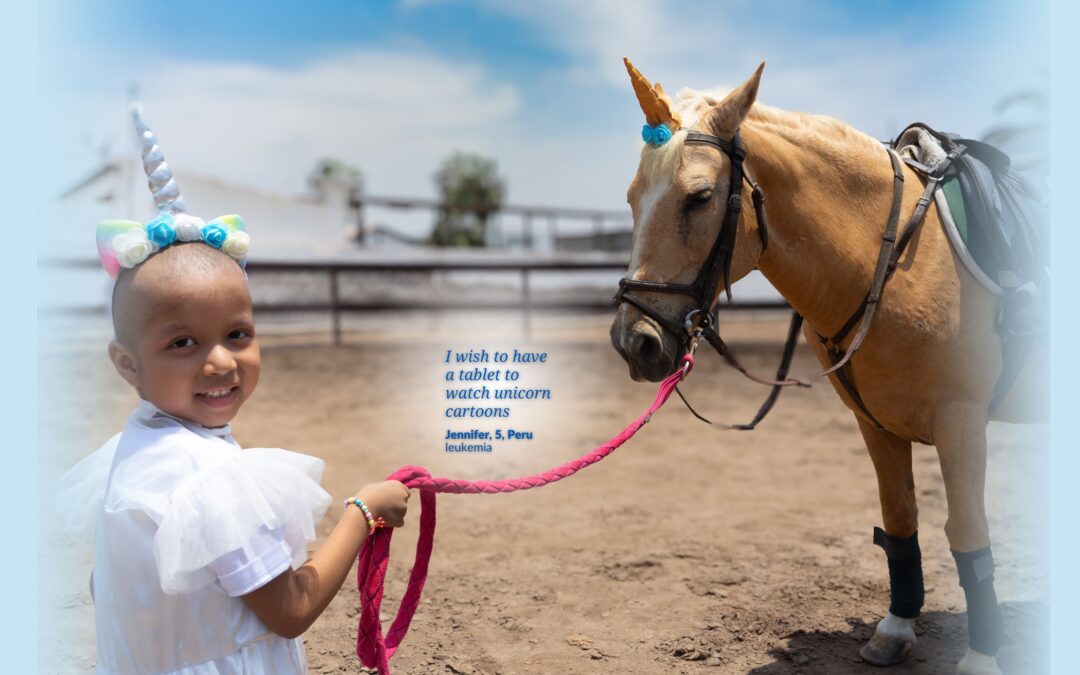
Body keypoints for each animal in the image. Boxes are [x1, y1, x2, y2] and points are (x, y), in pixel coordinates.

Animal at [609, 59, 1036, 673]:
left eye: (700, 196)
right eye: (632, 198)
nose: (634, 342)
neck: (897, 261)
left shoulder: (962, 420)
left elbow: (967, 532)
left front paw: (982, 656)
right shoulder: (876, 423)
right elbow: (900, 520)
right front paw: (894, 630)